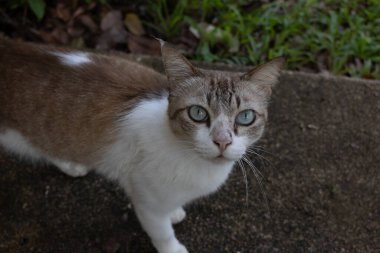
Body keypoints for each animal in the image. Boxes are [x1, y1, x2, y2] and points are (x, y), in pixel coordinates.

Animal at [0, 37, 282, 253]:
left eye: (245, 117)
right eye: (198, 113)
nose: (222, 141)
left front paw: (175, 211)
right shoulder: (147, 203)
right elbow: (162, 233)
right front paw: (173, 248)